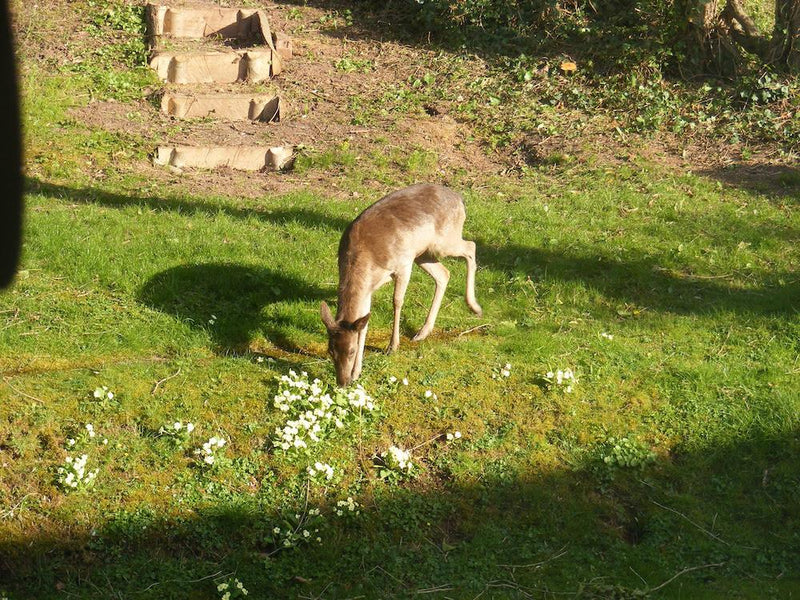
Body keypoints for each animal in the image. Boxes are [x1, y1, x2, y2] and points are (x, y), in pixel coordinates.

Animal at [318, 183, 482, 386]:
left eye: (351, 351)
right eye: (330, 351)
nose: (342, 382)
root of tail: (460, 199)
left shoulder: (403, 263)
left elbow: (397, 301)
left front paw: (392, 346)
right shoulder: (368, 288)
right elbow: (364, 323)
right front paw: (357, 373)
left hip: (442, 242)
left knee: (471, 246)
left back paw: (474, 306)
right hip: (424, 254)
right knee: (444, 274)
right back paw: (423, 332)